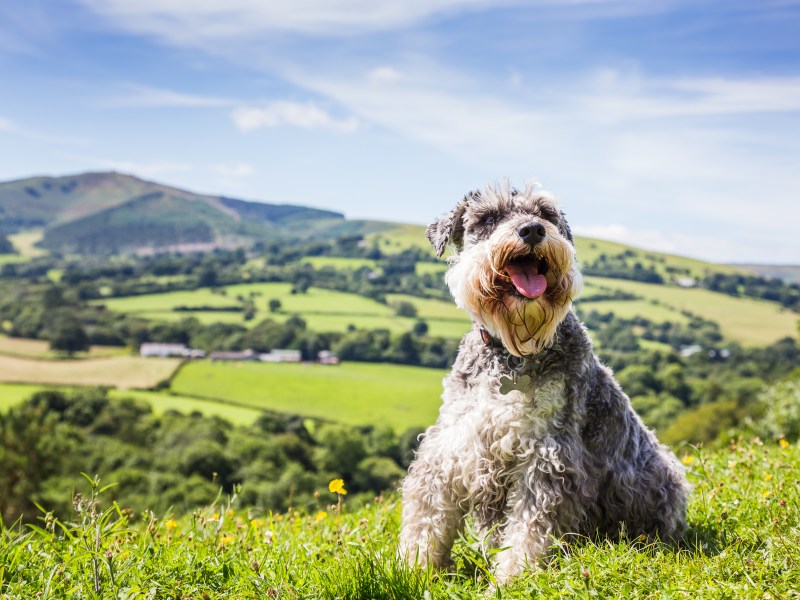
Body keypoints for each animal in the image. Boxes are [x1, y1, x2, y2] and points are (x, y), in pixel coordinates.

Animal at [400, 182, 688, 580]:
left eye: (546, 213)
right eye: (488, 217)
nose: (533, 230)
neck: (512, 355)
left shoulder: (547, 457)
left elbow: (529, 530)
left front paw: (511, 579)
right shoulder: (450, 447)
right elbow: (426, 518)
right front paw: (413, 571)